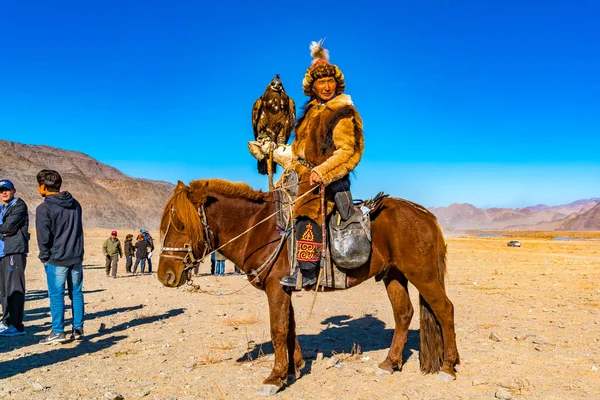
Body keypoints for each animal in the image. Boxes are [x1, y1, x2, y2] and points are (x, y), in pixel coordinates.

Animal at [156, 180, 460, 396]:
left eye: (180, 224)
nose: (165, 275)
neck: (257, 228)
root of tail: (424, 213)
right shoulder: (284, 288)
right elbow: (289, 328)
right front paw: (294, 368)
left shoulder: (276, 289)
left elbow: (278, 330)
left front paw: (274, 378)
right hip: (394, 274)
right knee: (403, 314)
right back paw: (390, 363)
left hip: (422, 273)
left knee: (444, 309)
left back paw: (448, 366)